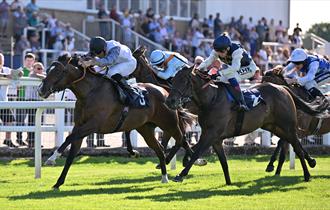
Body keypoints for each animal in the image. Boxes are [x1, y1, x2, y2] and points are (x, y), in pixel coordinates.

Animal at [38, 54, 196, 189]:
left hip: (169, 124)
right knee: (160, 150)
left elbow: (68, 138)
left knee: (181, 140)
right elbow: (71, 154)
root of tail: (165, 92)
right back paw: (164, 177)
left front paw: (52, 158)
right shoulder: (80, 126)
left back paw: (190, 164)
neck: (90, 93)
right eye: (48, 69)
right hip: (145, 129)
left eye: (59, 71)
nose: (41, 89)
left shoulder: (93, 125)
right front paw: (58, 183)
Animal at [165, 65, 322, 184]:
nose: (169, 101)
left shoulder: (211, 134)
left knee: (296, 146)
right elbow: (223, 162)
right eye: (173, 80)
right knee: (292, 142)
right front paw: (229, 183)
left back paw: (307, 175)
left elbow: (195, 152)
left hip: (287, 125)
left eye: (184, 81)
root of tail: (284, 89)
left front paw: (180, 174)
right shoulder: (216, 139)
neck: (211, 99)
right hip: (273, 126)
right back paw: (310, 162)